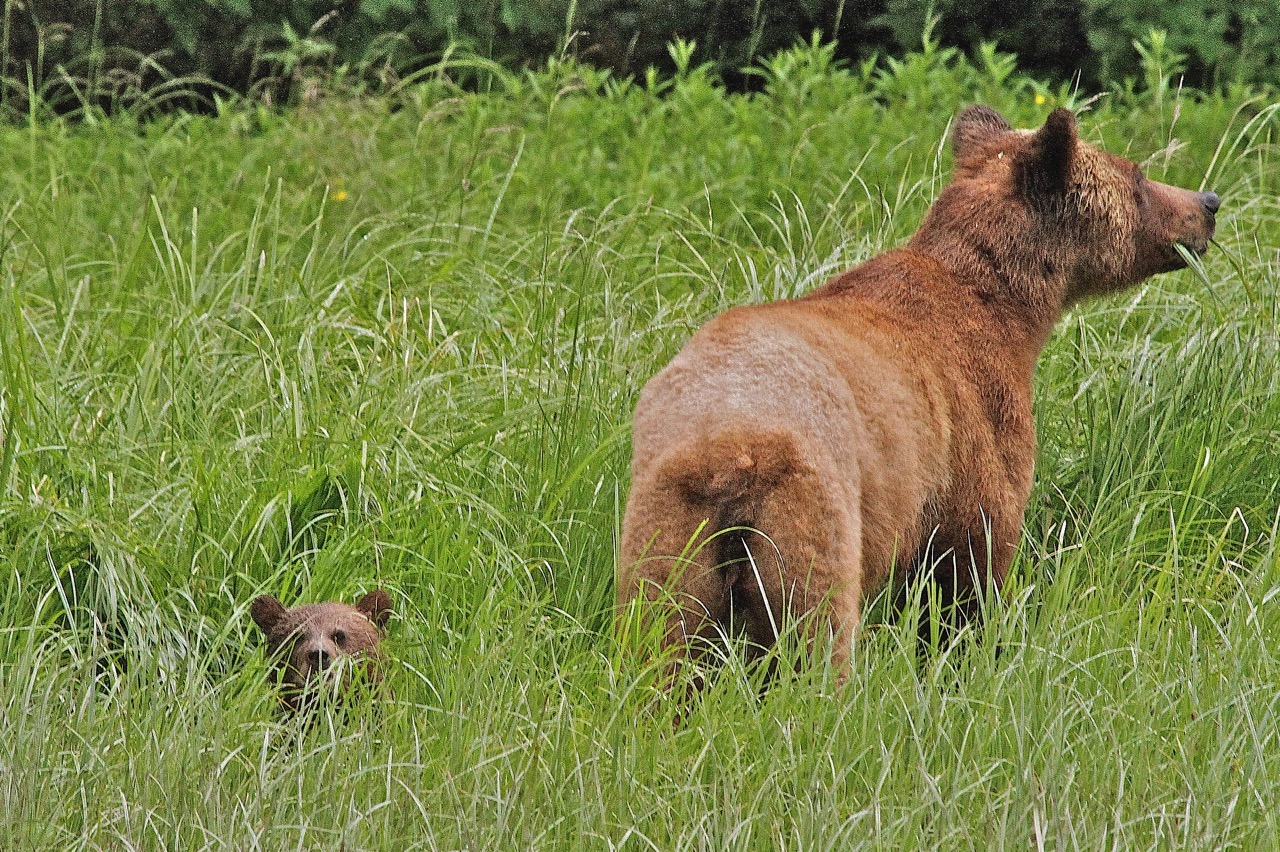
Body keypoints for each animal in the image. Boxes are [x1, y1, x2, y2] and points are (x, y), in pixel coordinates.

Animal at [616, 104, 1218, 675]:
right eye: (1137, 177)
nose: (1208, 201)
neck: (1008, 309)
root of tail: (731, 453)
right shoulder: (971, 432)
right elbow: (968, 569)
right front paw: (965, 652)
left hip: (667, 530)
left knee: (663, 646)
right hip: (810, 514)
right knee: (814, 635)